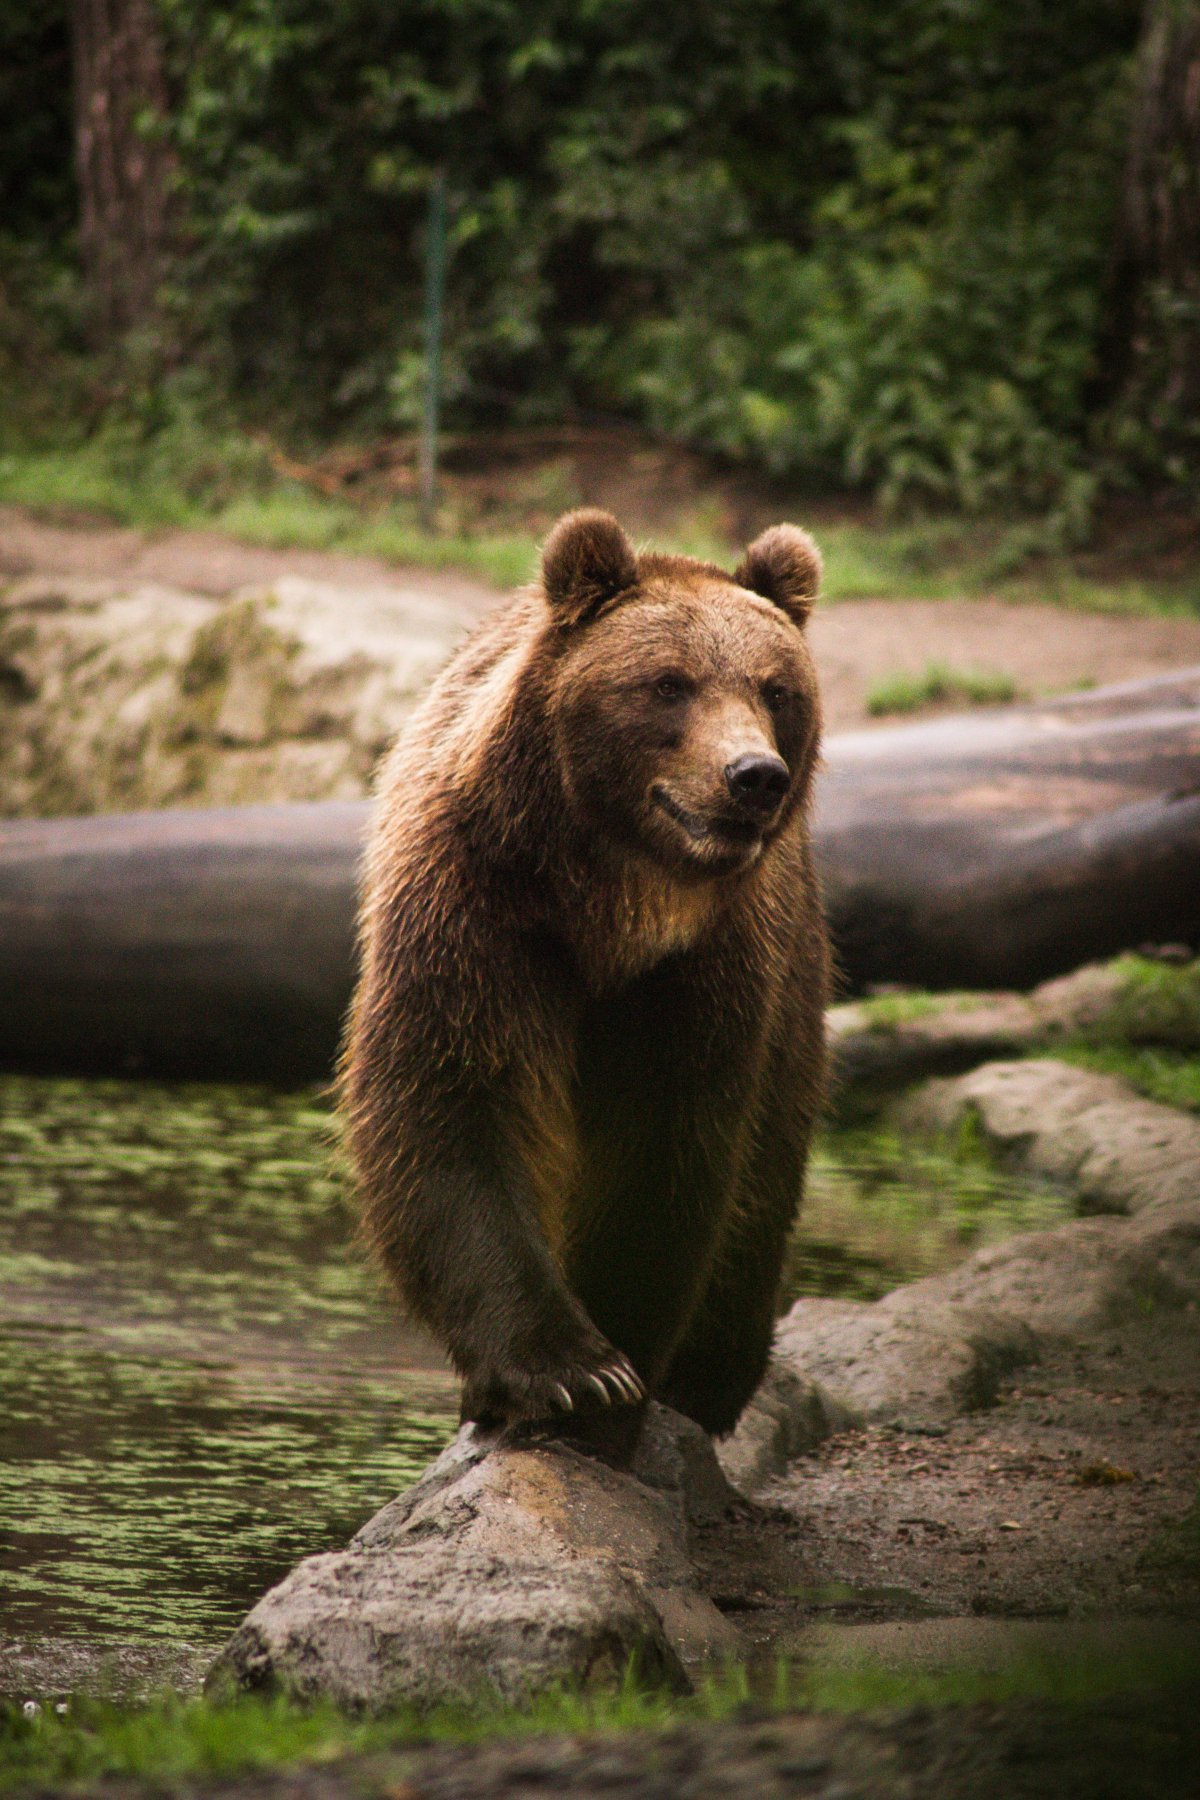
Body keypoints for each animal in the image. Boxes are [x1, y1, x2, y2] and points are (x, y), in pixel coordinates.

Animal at [341, 514, 831, 1440]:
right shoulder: (475, 911)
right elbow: (454, 1106)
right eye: (669, 684)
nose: (753, 776)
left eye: (776, 688)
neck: (613, 906)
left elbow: (665, 1151)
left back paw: (712, 1379)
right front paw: (570, 1372)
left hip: (798, 995)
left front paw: (623, 1373)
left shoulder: (707, 969)